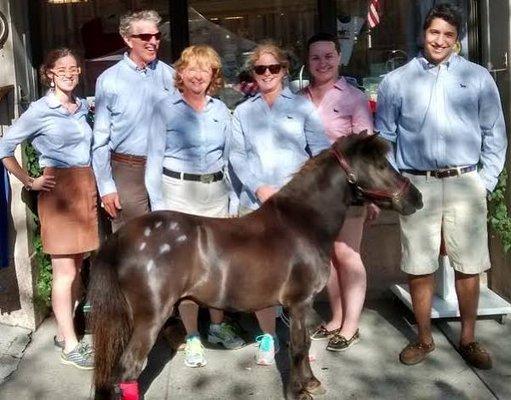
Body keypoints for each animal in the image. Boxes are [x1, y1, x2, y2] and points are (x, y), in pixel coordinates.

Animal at [89, 133, 424, 398]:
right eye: (380, 165)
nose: (416, 198)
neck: (302, 224)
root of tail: (122, 237)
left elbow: (302, 346)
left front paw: (311, 383)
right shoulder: (299, 302)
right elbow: (298, 346)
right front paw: (299, 391)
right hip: (150, 318)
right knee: (129, 368)